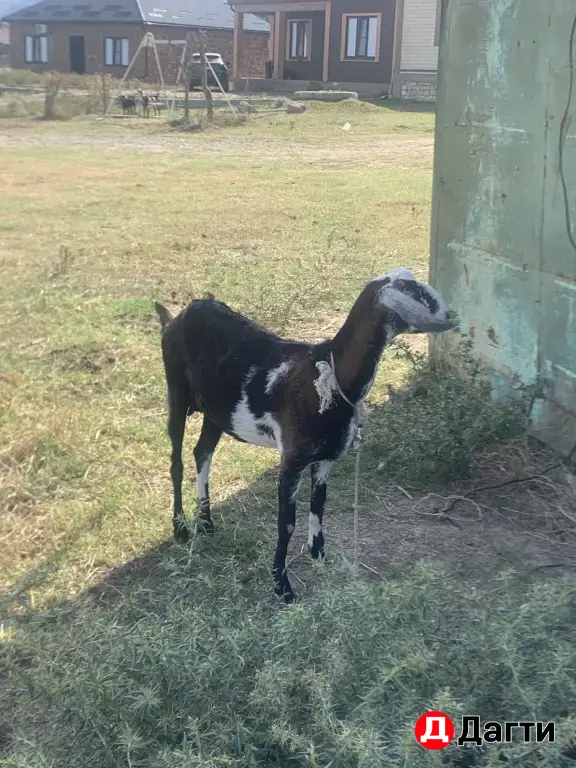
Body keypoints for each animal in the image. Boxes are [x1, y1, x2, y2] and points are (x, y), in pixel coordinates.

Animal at [154, 268, 454, 602]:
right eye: (412, 291)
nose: (452, 315)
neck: (330, 376)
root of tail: (177, 317)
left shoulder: (325, 459)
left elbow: (319, 504)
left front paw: (318, 553)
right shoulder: (291, 460)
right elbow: (286, 523)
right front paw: (282, 586)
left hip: (216, 412)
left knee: (202, 453)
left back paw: (206, 524)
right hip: (176, 393)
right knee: (177, 462)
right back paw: (181, 529)